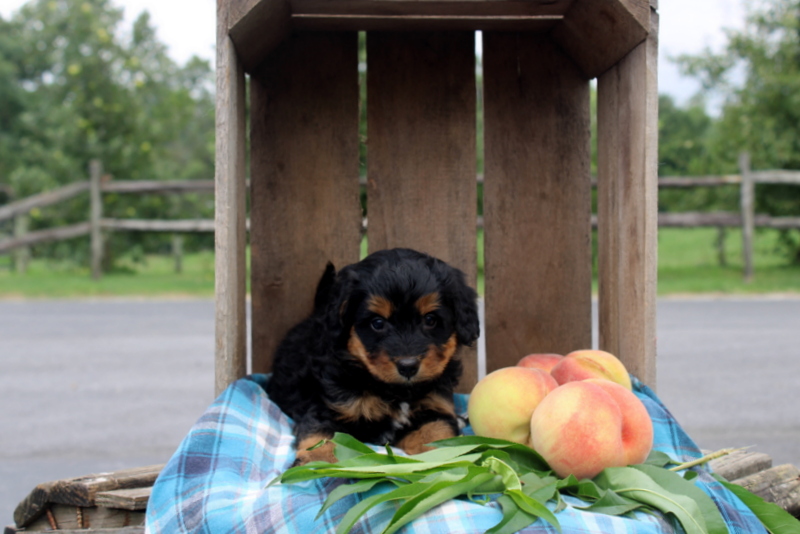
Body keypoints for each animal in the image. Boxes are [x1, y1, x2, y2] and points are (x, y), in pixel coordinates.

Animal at [268, 249, 478, 466]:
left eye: (430, 320)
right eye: (377, 323)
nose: (408, 366)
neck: (395, 391)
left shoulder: (433, 407)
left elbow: (437, 435)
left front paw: (446, 459)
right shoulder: (330, 406)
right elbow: (322, 436)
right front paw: (317, 463)